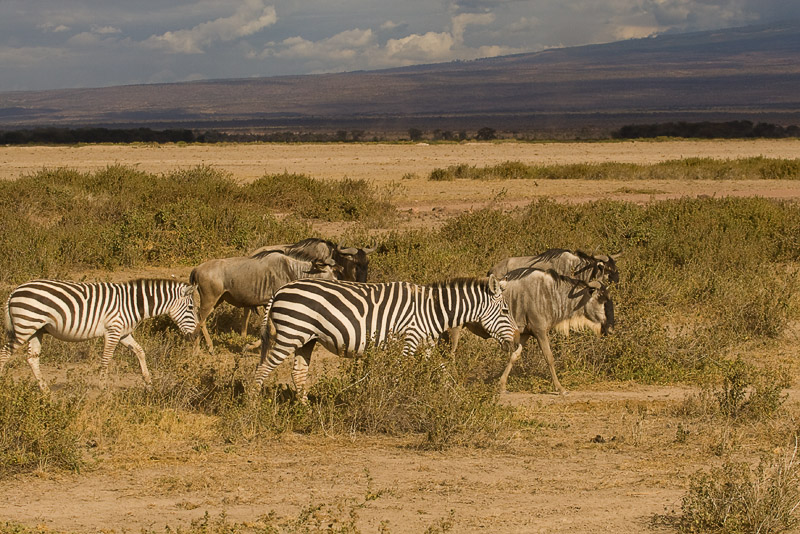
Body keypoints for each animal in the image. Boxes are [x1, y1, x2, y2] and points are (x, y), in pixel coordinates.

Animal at [0, 278, 198, 392]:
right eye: (191, 307)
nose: (195, 336)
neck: (134, 303)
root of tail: (15, 291)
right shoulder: (113, 330)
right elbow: (106, 358)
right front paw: (102, 388)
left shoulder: (124, 333)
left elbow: (140, 352)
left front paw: (148, 384)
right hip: (26, 325)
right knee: (4, 353)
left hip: (36, 329)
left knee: (32, 358)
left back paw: (45, 389)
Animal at [255, 276, 520, 402]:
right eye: (506, 311)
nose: (518, 342)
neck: (432, 310)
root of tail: (280, 289)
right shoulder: (409, 340)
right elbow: (398, 375)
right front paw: (392, 400)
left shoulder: (427, 344)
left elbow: (444, 373)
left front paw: (457, 400)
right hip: (291, 333)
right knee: (262, 369)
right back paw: (253, 406)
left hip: (307, 338)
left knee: (298, 373)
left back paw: (307, 409)